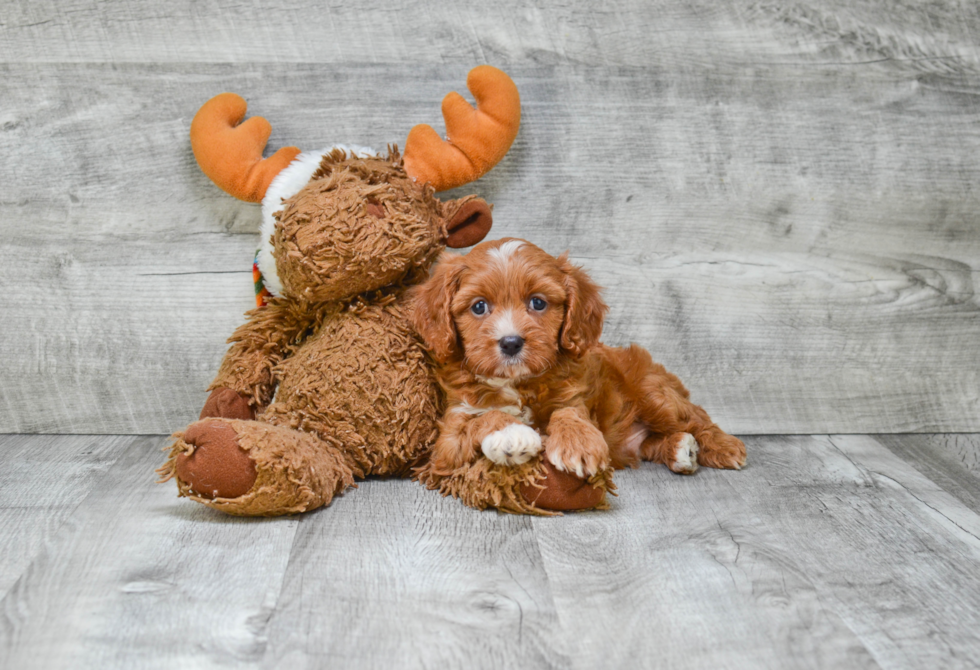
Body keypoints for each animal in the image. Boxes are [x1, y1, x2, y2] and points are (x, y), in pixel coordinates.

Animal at [412, 242, 744, 498]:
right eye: (479, 307)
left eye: (538, 303)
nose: (511, 342)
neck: (518, 383)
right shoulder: (449, 438)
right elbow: (482, 419)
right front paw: (513, 434)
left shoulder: (572, 395)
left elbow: (568, 412)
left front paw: (578, 443)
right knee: (650, 444)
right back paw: (680, 449)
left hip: (653, 393)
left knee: (694, 416)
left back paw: (723, 446)